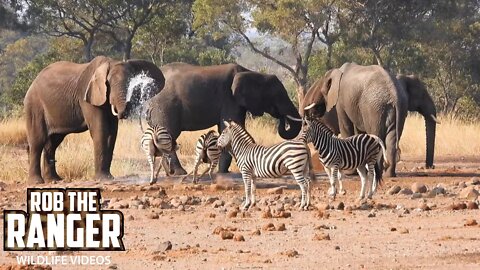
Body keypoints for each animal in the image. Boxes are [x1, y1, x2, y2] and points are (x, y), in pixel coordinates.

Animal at [24, 56, 167, 185]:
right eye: (109, 83)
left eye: (133, 83)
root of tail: (33, 82)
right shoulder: (88, 97)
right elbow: (101, 131)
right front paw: (103, 179)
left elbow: (112, 134)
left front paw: (109, 177)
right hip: (34, 106)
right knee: (37, 141)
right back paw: (37, 182)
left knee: (52, 143)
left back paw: (55, 180)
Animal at [146, 62, 302, 174]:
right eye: (277, 96)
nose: (282, 118)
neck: (252, 72)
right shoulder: (230, 99)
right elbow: (230, 128)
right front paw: (223, 172)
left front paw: (223, 171)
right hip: (165, 106)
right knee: (169, 135)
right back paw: (179, 173)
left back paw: (170, 173)